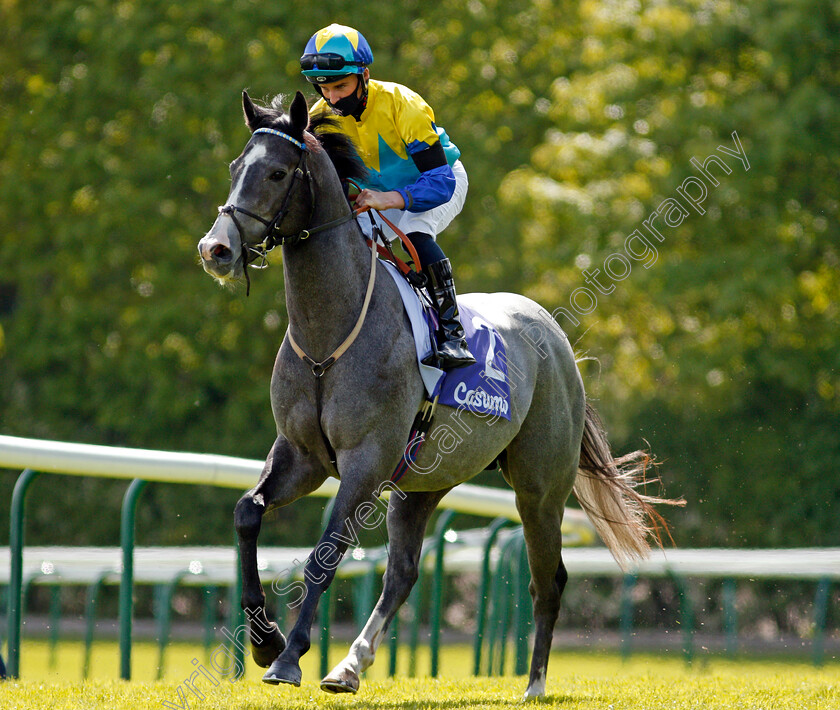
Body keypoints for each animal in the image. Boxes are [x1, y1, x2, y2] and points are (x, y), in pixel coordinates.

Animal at [199, 90, 684, 700]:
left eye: (278, 172)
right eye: (235, 167)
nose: (215, 249)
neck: (329, 337)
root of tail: (555, 337)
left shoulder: (365, 461)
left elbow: (325, 553)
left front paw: (287, 657)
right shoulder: (302, 456)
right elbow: (247, 511)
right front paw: (265, 638)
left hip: (540, 488)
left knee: (547, 578)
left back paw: (534, 684)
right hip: (424, 481)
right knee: (403, 573)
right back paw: (349, 666)